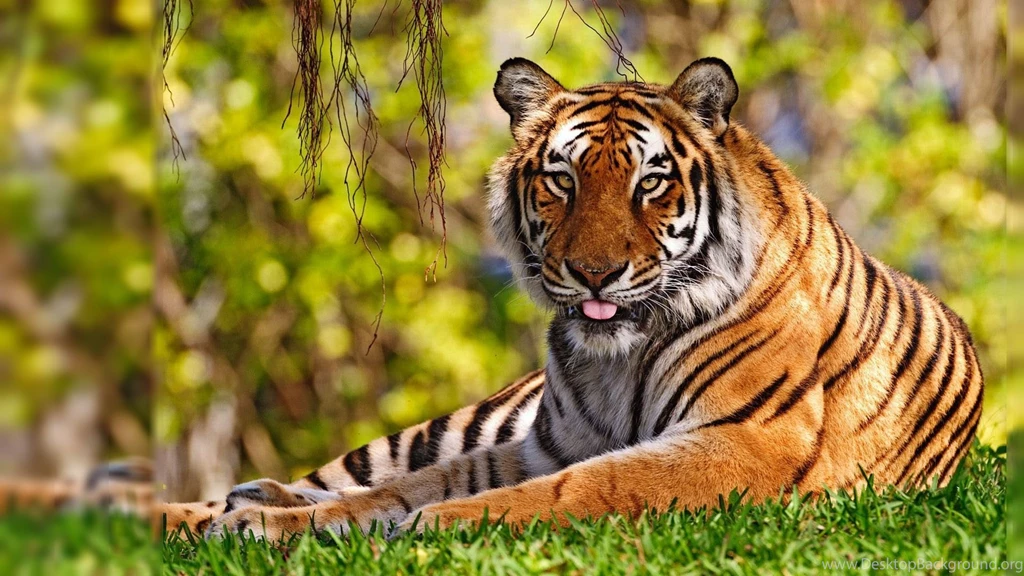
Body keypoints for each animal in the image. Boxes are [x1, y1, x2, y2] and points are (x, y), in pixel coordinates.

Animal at [9, 56, 982, 540]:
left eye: (650, 183)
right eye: (561, 179)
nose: (594, 274)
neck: (618, 356)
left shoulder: (741, 443)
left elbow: (567, 493)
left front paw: (404, 531)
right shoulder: (544, 441)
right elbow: (406, 489)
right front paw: (282, 526)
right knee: (313, 478)